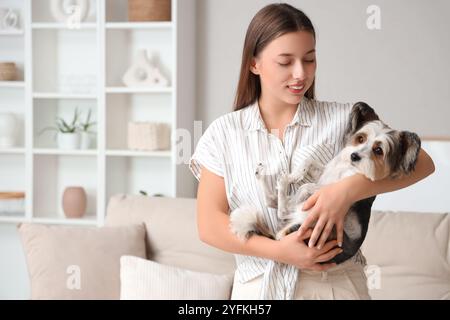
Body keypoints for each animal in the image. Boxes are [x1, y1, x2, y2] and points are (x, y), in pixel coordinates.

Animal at [232, 102, 422, 262]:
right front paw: (296, 175)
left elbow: (308, 186)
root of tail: (279, 238)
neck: (347, 167)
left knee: (282, 209)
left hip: (314, 221)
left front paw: (297, 183)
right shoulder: (325, 171)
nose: (354, 156)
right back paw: (266, 175)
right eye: (361, 138)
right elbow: (308, 162)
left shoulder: (334, 190)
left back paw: (282, 182)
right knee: (273, 202)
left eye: (378, 150)